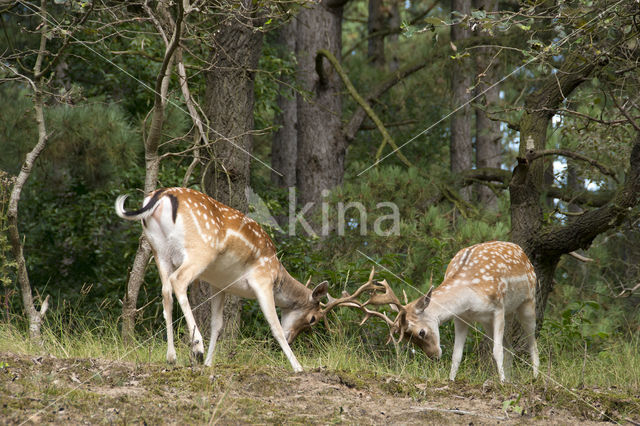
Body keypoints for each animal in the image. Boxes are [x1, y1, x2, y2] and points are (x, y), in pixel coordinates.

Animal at [115, 188, 344, 372]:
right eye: (313, 319)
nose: (292, 338)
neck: (277, 273)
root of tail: (161, 196)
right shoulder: (262, 279)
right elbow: (274, 325)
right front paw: (298, 367)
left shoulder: (219, 285)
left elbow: (217, 325)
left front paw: (209, 364)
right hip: (200, 249)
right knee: (178, 281)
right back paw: (196, 347)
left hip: (158, 249)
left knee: (165, 291)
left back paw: (171, 356)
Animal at [340, 240, 540, 382]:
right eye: (406, 338)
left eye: (421, 332)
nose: (434, 356)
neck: (469, 292)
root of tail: (522, 252)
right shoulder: (462, 317)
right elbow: (457, 355)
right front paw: (451, 380)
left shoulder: (498, 308)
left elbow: (496, 350)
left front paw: (501, 382)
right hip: (491, 320)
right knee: (510, 347)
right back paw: (511, 379)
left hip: (528, 302)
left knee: (532, 343)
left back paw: (535, 378)